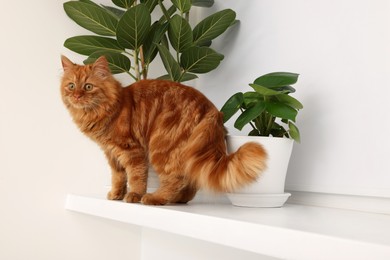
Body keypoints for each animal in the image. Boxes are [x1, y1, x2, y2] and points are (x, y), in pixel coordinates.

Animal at [60, 55, 268, 205]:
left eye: (88, 87)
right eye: (71, 86)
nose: (76, 96)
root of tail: (213, 109)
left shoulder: (131, 150)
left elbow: (135, 177)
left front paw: (133, 195)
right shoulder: (111, 154)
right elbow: (118, 177)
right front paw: (116, 194)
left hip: (162, 147)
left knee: (176, 179)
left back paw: (155, 198)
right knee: (189, 181)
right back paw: (179, 200)